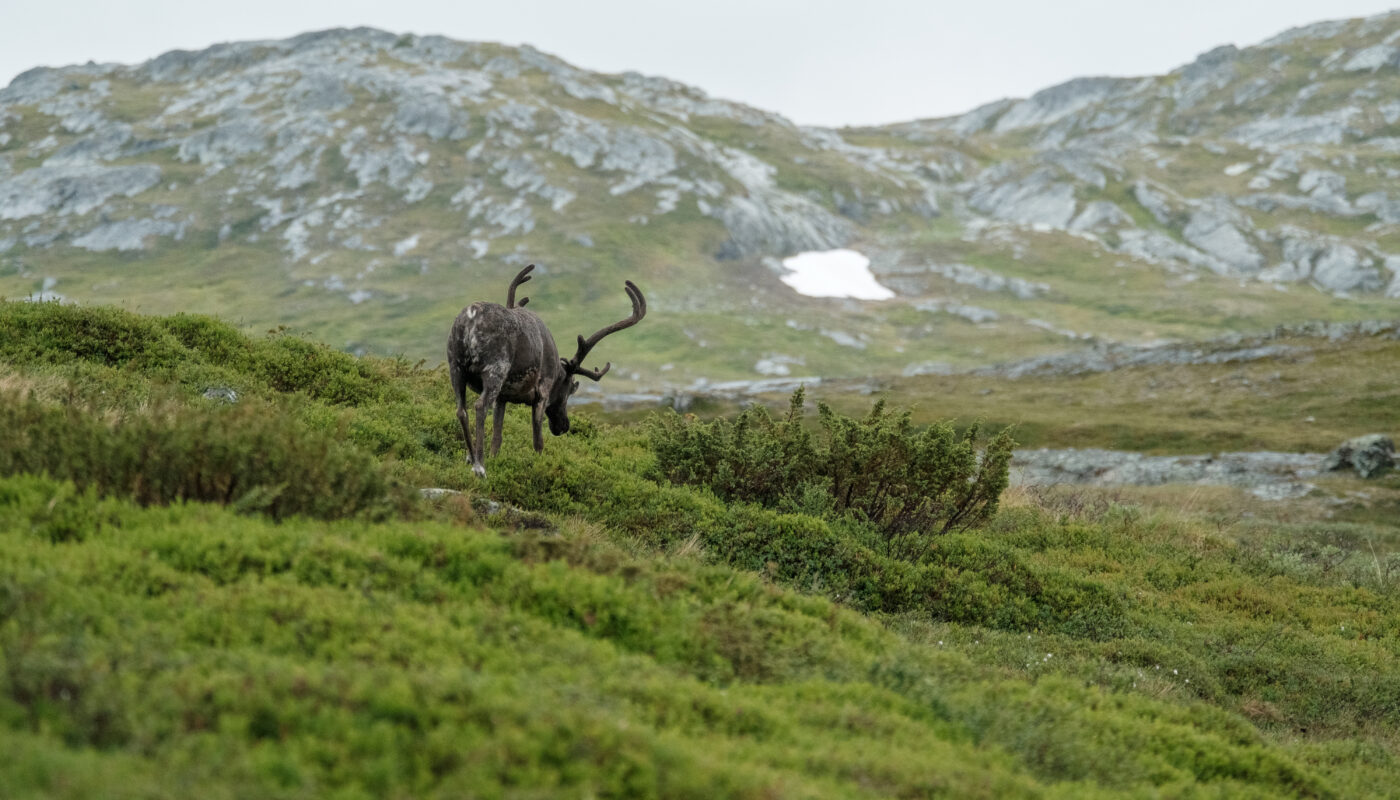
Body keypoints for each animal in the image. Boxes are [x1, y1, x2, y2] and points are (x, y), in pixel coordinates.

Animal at [447, 264, 646, 477]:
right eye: (569, 390)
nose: (564, 426)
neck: (558, 373)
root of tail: (470, 318)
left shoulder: (503, 397)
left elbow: (497, 438)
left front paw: (494, 458)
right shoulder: (542, 391)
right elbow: (538, 440)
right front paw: (541, 465)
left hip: (455, 367)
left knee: (461, 410)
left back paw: (471, 458)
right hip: (495, 370)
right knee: (480, 406)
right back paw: (479, 466)